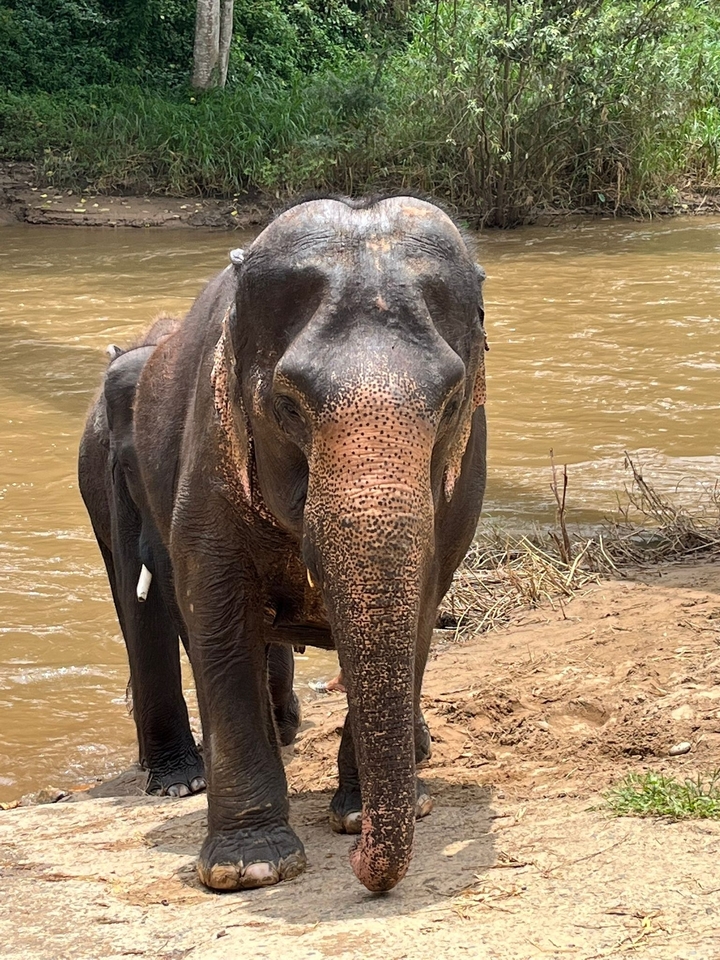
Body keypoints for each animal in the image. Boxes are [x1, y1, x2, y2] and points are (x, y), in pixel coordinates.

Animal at [130, 195, 487, 893]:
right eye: (289, 405)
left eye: (452, 401)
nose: (360, 868)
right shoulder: (209, 452)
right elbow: (218, 614)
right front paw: (250, 868)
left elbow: (424, 601)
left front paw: (356, 816)